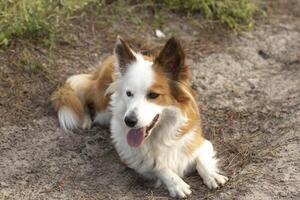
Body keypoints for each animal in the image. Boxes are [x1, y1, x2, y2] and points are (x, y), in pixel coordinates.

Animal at [51, 36, 229, 198]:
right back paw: (86, 118)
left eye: (153, 95)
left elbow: (201, 159)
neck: (159, 135)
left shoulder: (199, 142)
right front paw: (176, 183)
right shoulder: (131, 157)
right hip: (102, 107)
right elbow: (157, 165)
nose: (129, 121)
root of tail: (110, 60)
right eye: (129, 93)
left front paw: (212, 175)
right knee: (85, 95)